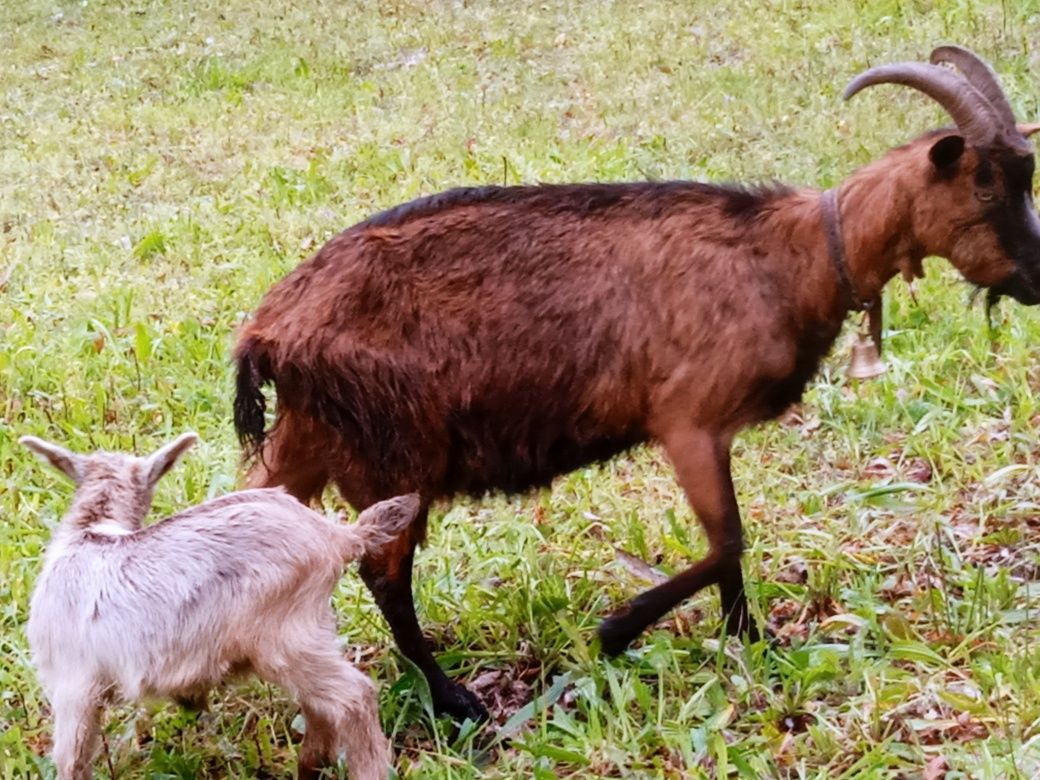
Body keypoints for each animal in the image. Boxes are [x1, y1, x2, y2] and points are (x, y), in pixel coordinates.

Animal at [233, 45, 1040, 723]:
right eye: (986, 183)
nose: (1035, 277)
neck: (793, 253)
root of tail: (271, 329)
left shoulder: (709, 431)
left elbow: (729, 549)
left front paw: (751, 641)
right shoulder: (687, 420)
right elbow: (729, 540)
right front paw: (617, 631)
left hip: (306, 439)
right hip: (392, 455)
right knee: (384, 575)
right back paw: (454, 699)